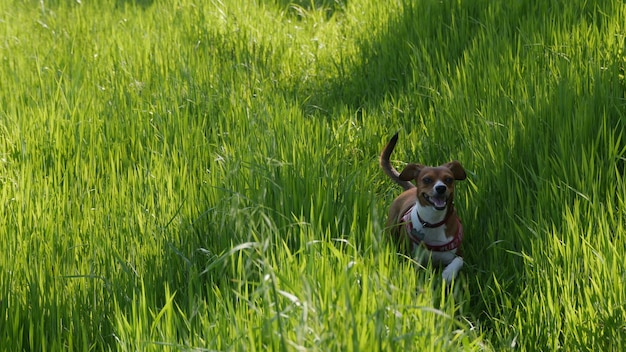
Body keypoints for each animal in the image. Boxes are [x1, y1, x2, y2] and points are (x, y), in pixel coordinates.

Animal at [378, 132, 466, 284]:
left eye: (449, 179)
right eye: (427, 179)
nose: (441, 188)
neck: (433, 221)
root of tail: (410, 189)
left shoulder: (457, 253)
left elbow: (459, 261)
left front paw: (448, 273)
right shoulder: (412, 258)